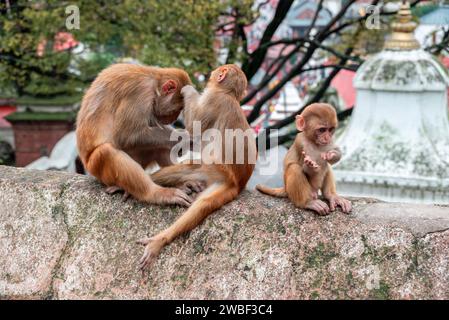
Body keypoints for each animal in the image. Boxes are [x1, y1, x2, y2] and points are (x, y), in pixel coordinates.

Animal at [77, 63, 192, 206]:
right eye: (178, 108)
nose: (174, 118)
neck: (154, 81)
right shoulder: (140, 92)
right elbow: (128, 136)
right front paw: (186, 139)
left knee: (158, 145)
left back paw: (179, 182)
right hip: (97, 168)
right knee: (107, 152)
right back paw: (157, 193)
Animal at [136, 63, 256, 268]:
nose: (214, 72)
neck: (228, 94)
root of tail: (238, 185)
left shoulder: (213, 99)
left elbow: (194, 126)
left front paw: (188, 89)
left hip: (217, 171)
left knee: (198, 199)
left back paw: (160, 238)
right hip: (213, 176)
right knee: (193, 187)